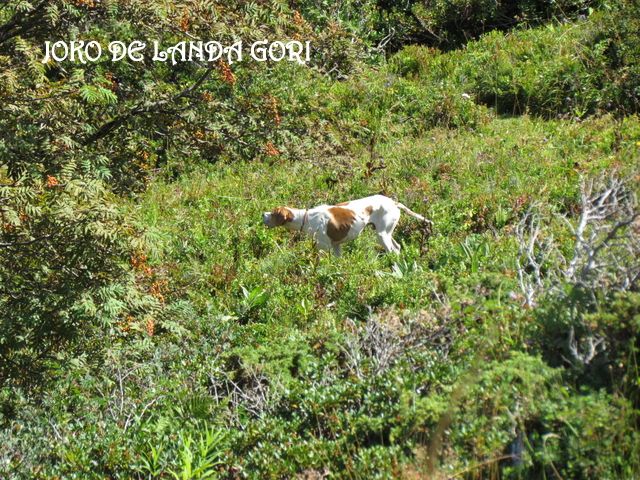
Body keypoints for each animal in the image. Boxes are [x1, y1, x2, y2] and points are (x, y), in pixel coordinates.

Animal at [262, 194, 432, 256]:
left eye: (273, 213)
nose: (263, 214)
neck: (306, 218)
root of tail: (393, 202)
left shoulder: (324, 248)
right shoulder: (336, 247)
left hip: (382, 235)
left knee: (393, 250)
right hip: (386, 233)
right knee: (397, 247)